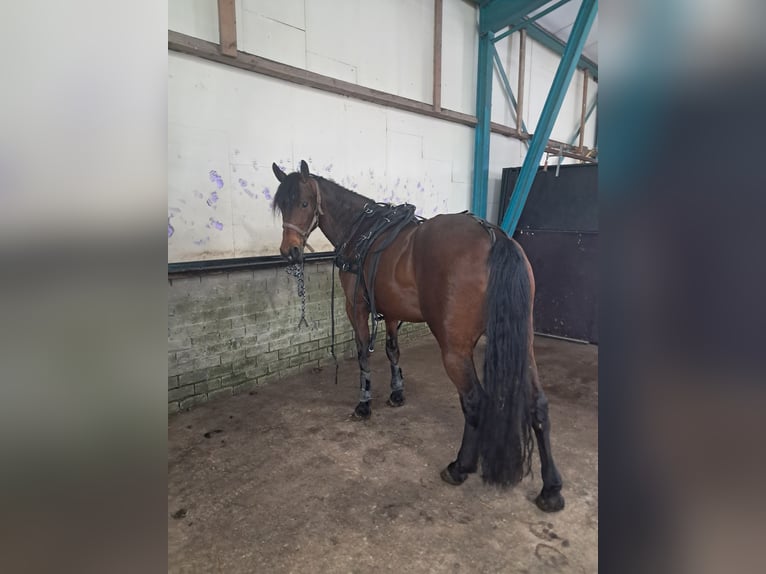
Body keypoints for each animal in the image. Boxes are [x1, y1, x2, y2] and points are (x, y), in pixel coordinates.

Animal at [271, 160, 564, 512]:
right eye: (281, 205)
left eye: (303, 203)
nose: (289, 251)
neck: (361, 230)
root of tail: (494, 237)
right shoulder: (391, 311)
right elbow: (392, 350)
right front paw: (397, 393)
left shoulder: (356, 306)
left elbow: (363, 353)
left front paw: (364, 404)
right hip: (523, 345)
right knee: (538, 405)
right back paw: (551, 489)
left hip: (454, 349)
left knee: (475, 401)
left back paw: (460, 466)